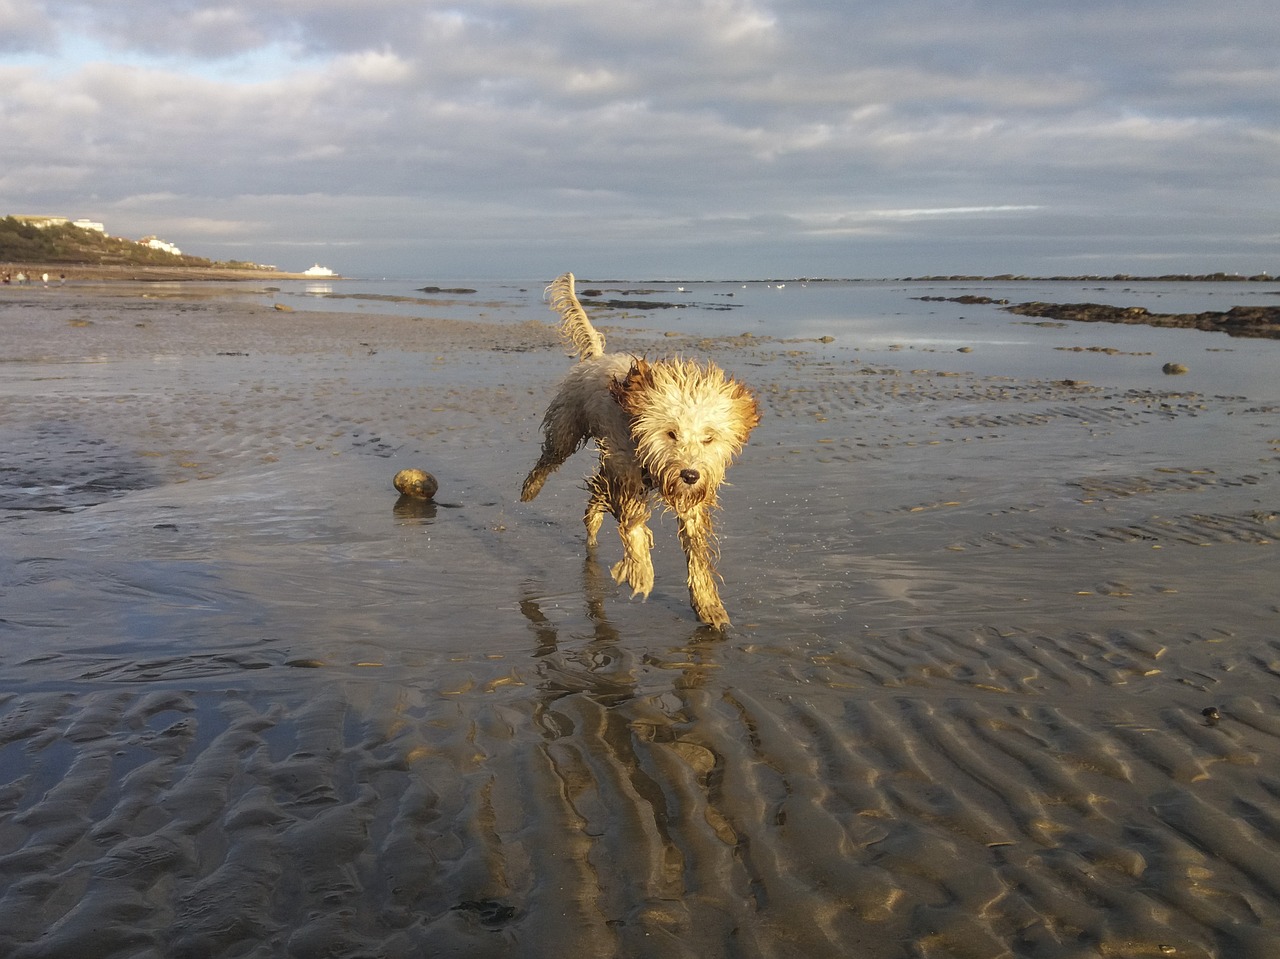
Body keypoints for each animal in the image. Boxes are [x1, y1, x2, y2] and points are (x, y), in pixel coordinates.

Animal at [519, 271, 757, 627]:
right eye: (671, 433)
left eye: (709, 438)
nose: (690, 474)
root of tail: (597, 357)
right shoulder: (624, 471)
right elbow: (633, 526)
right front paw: (641, 572)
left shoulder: (686, 498)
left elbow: (696, 552)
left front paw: (708, 605)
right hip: (566, 428)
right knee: (551, 457)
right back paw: (531, 488)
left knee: (595, 491)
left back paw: (592, 521)